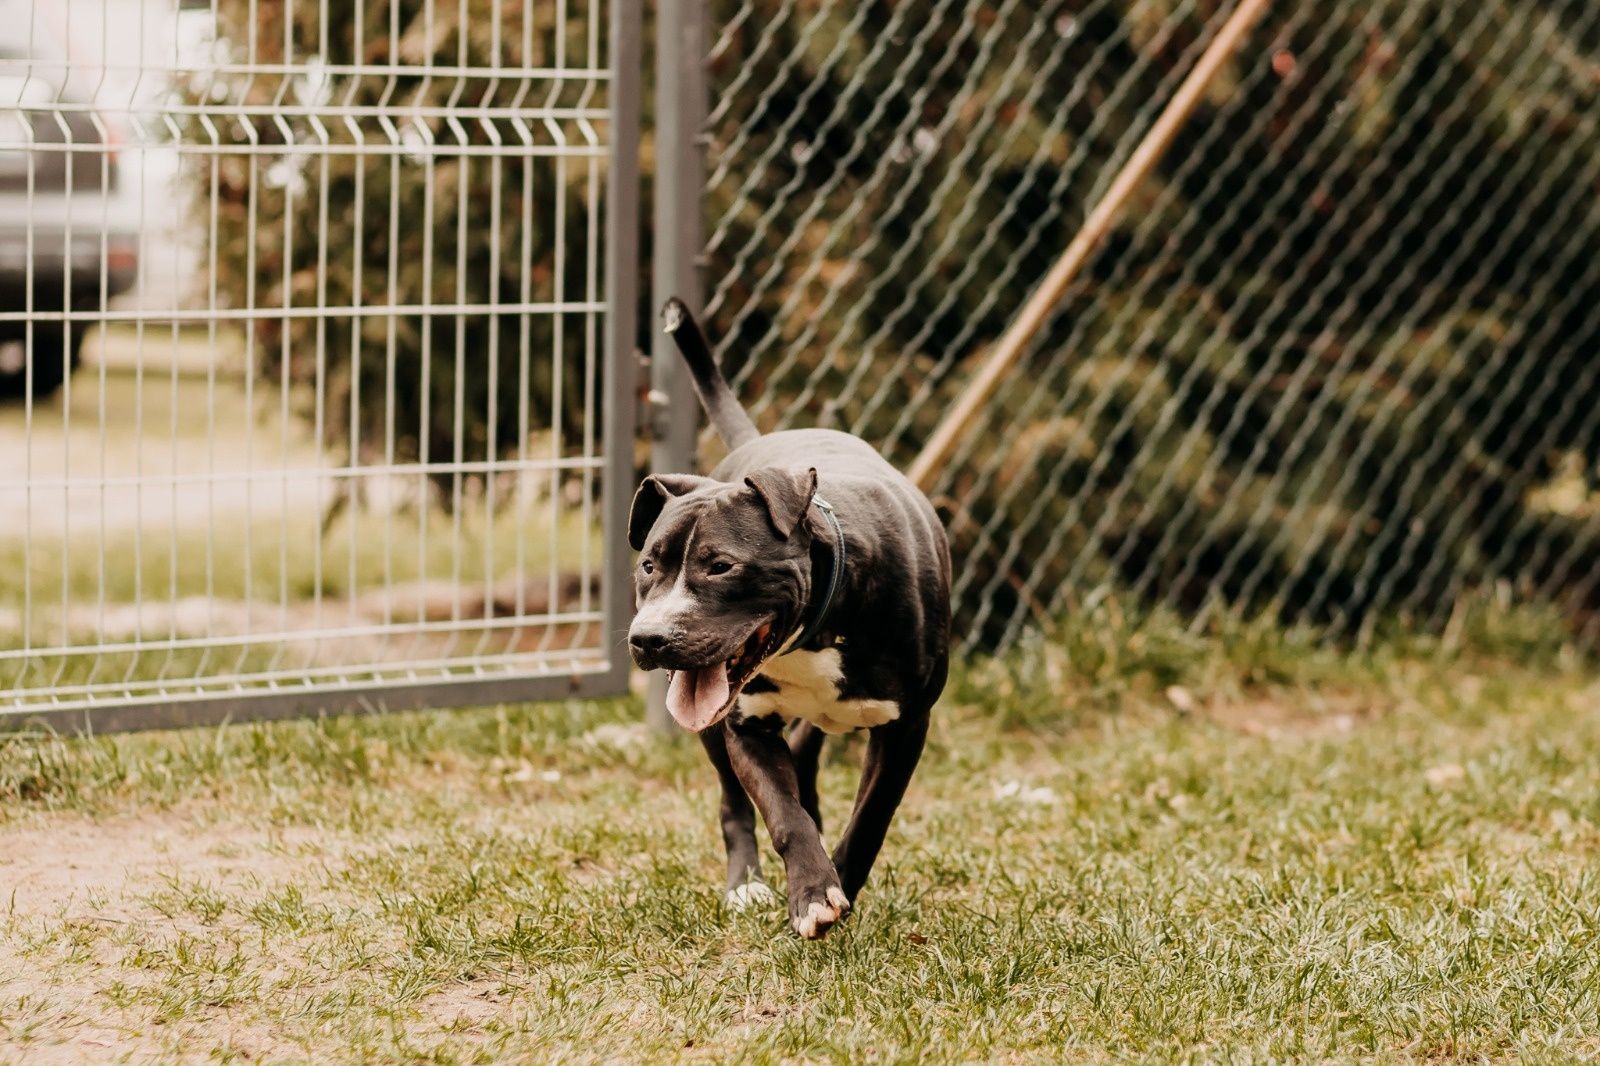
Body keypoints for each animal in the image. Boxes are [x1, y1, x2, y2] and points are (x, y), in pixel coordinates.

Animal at [624, 299, 947, 941]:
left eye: (721, 566)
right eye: (649, 565)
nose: (647, 639)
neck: (823, 621)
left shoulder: (907, 726)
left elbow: (871, 817)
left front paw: (838, 882)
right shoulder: (744, 727)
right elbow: (782, 811)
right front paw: (813, 890)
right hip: (714, 728)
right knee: (734, 803)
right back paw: (745, 884)